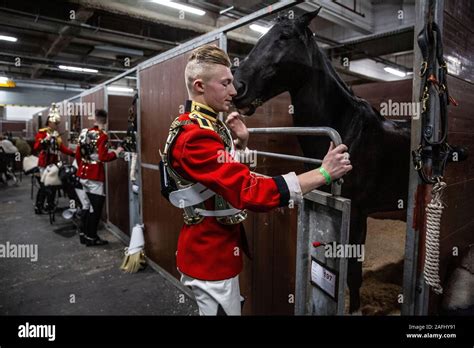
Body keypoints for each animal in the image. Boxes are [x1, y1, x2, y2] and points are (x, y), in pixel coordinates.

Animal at [233, 8, 412, 312]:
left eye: (284, 36)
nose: (238, 87)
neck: (348, 130)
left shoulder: (357, 213)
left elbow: (352, 273)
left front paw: (355, 309)